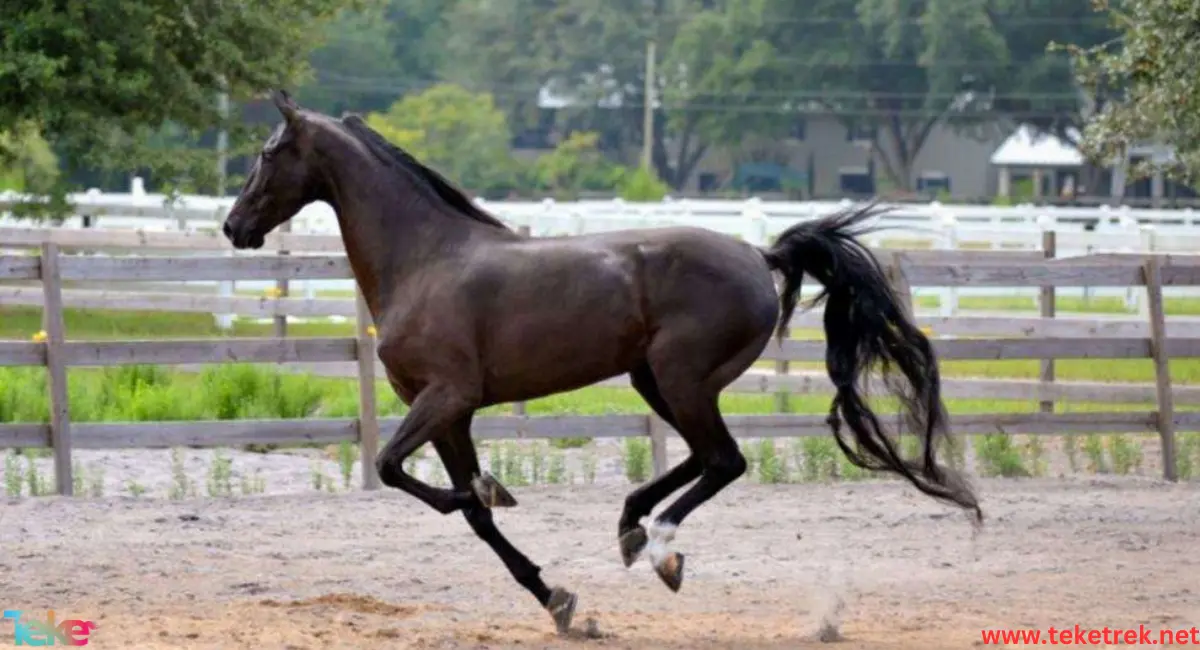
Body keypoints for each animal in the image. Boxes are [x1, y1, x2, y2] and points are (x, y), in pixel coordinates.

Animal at [220, 90, 979, 638]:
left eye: (266, 151)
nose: (234, 227)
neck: (425, 260)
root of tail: (758, 254)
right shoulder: (449, 415)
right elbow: (467, 514)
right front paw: (558, 599)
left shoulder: (445, 397)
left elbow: (399, 473)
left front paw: (497, 494)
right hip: (656, 380)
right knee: (702, 458)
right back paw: (632, 527)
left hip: (680, 378)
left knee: (723, 460)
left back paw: (662, 548)